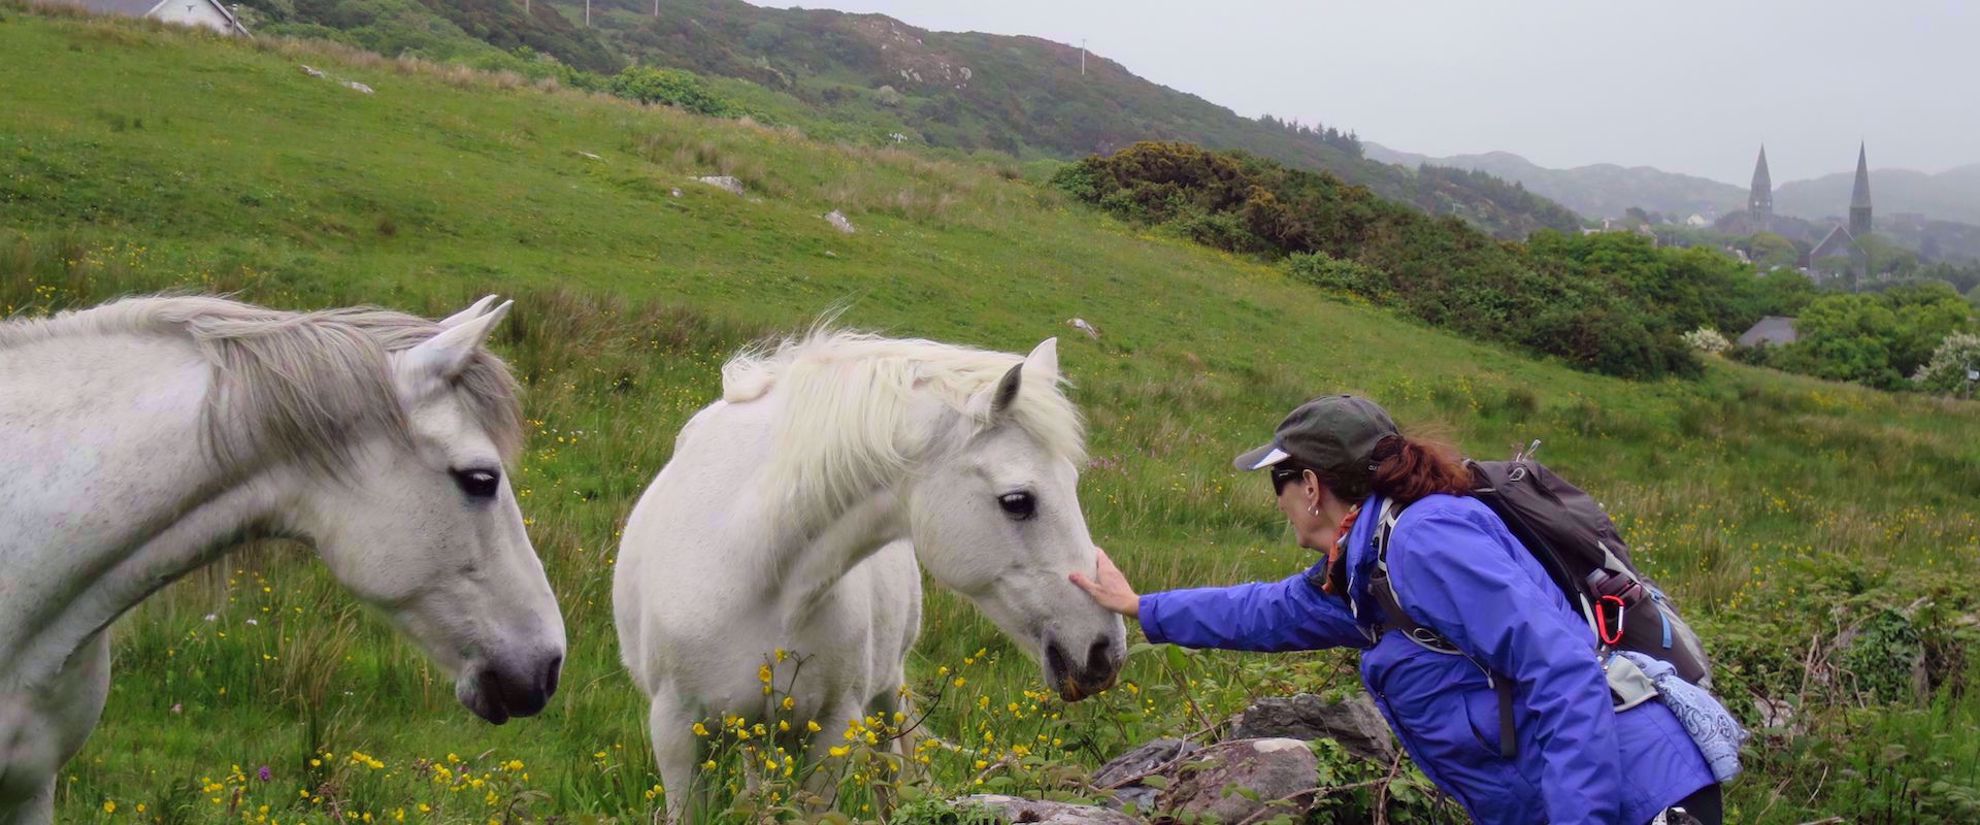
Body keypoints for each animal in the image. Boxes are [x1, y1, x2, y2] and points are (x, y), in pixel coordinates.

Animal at [609, 328, 1124, 815]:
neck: (751, 570)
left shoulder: (834, 729)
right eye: (1017, 501)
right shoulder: (677, 738)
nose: (1105, 652)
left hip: (885, 693)